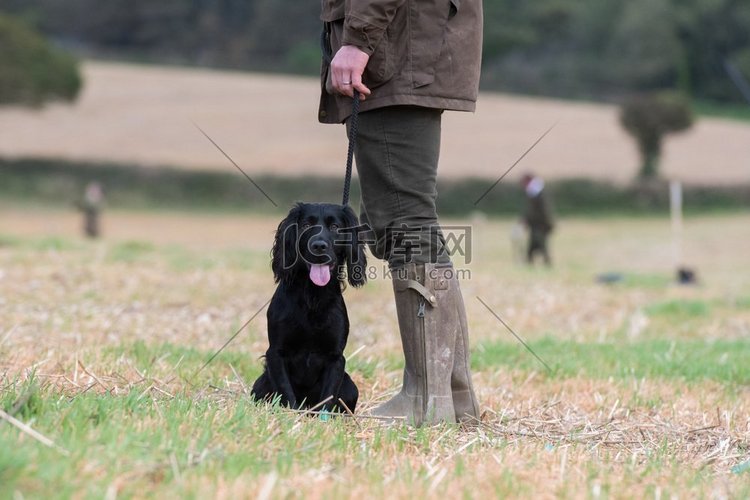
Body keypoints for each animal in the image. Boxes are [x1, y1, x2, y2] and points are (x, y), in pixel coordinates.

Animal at [251, 201, 368, 412]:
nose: (319, 246)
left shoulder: (335, 358)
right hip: (260, 385)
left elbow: (327, 399)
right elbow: (287, 394)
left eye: (335, 227)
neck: (313, 296)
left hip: (350, 387)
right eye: (306, 226)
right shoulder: (276, 353)